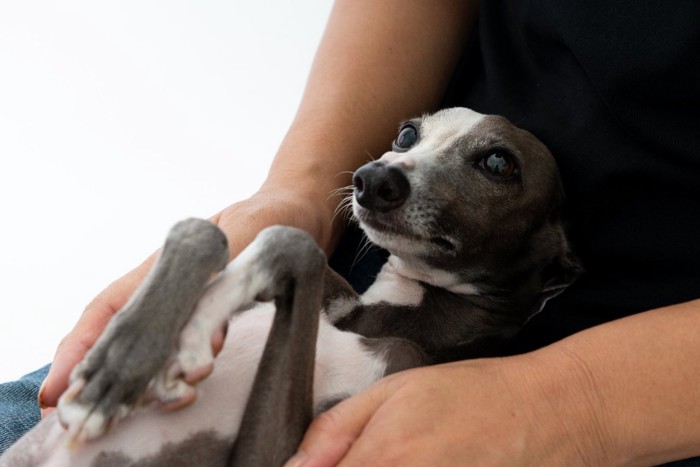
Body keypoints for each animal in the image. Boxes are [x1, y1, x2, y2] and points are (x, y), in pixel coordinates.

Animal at [0, 107, 580, 467]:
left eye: (499, 162)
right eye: (407, 134)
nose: (372, 179)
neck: (384, 318)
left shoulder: (272, 453)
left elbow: (294, 242)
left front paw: (190, 336)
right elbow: (213, 230)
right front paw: (116, 368)